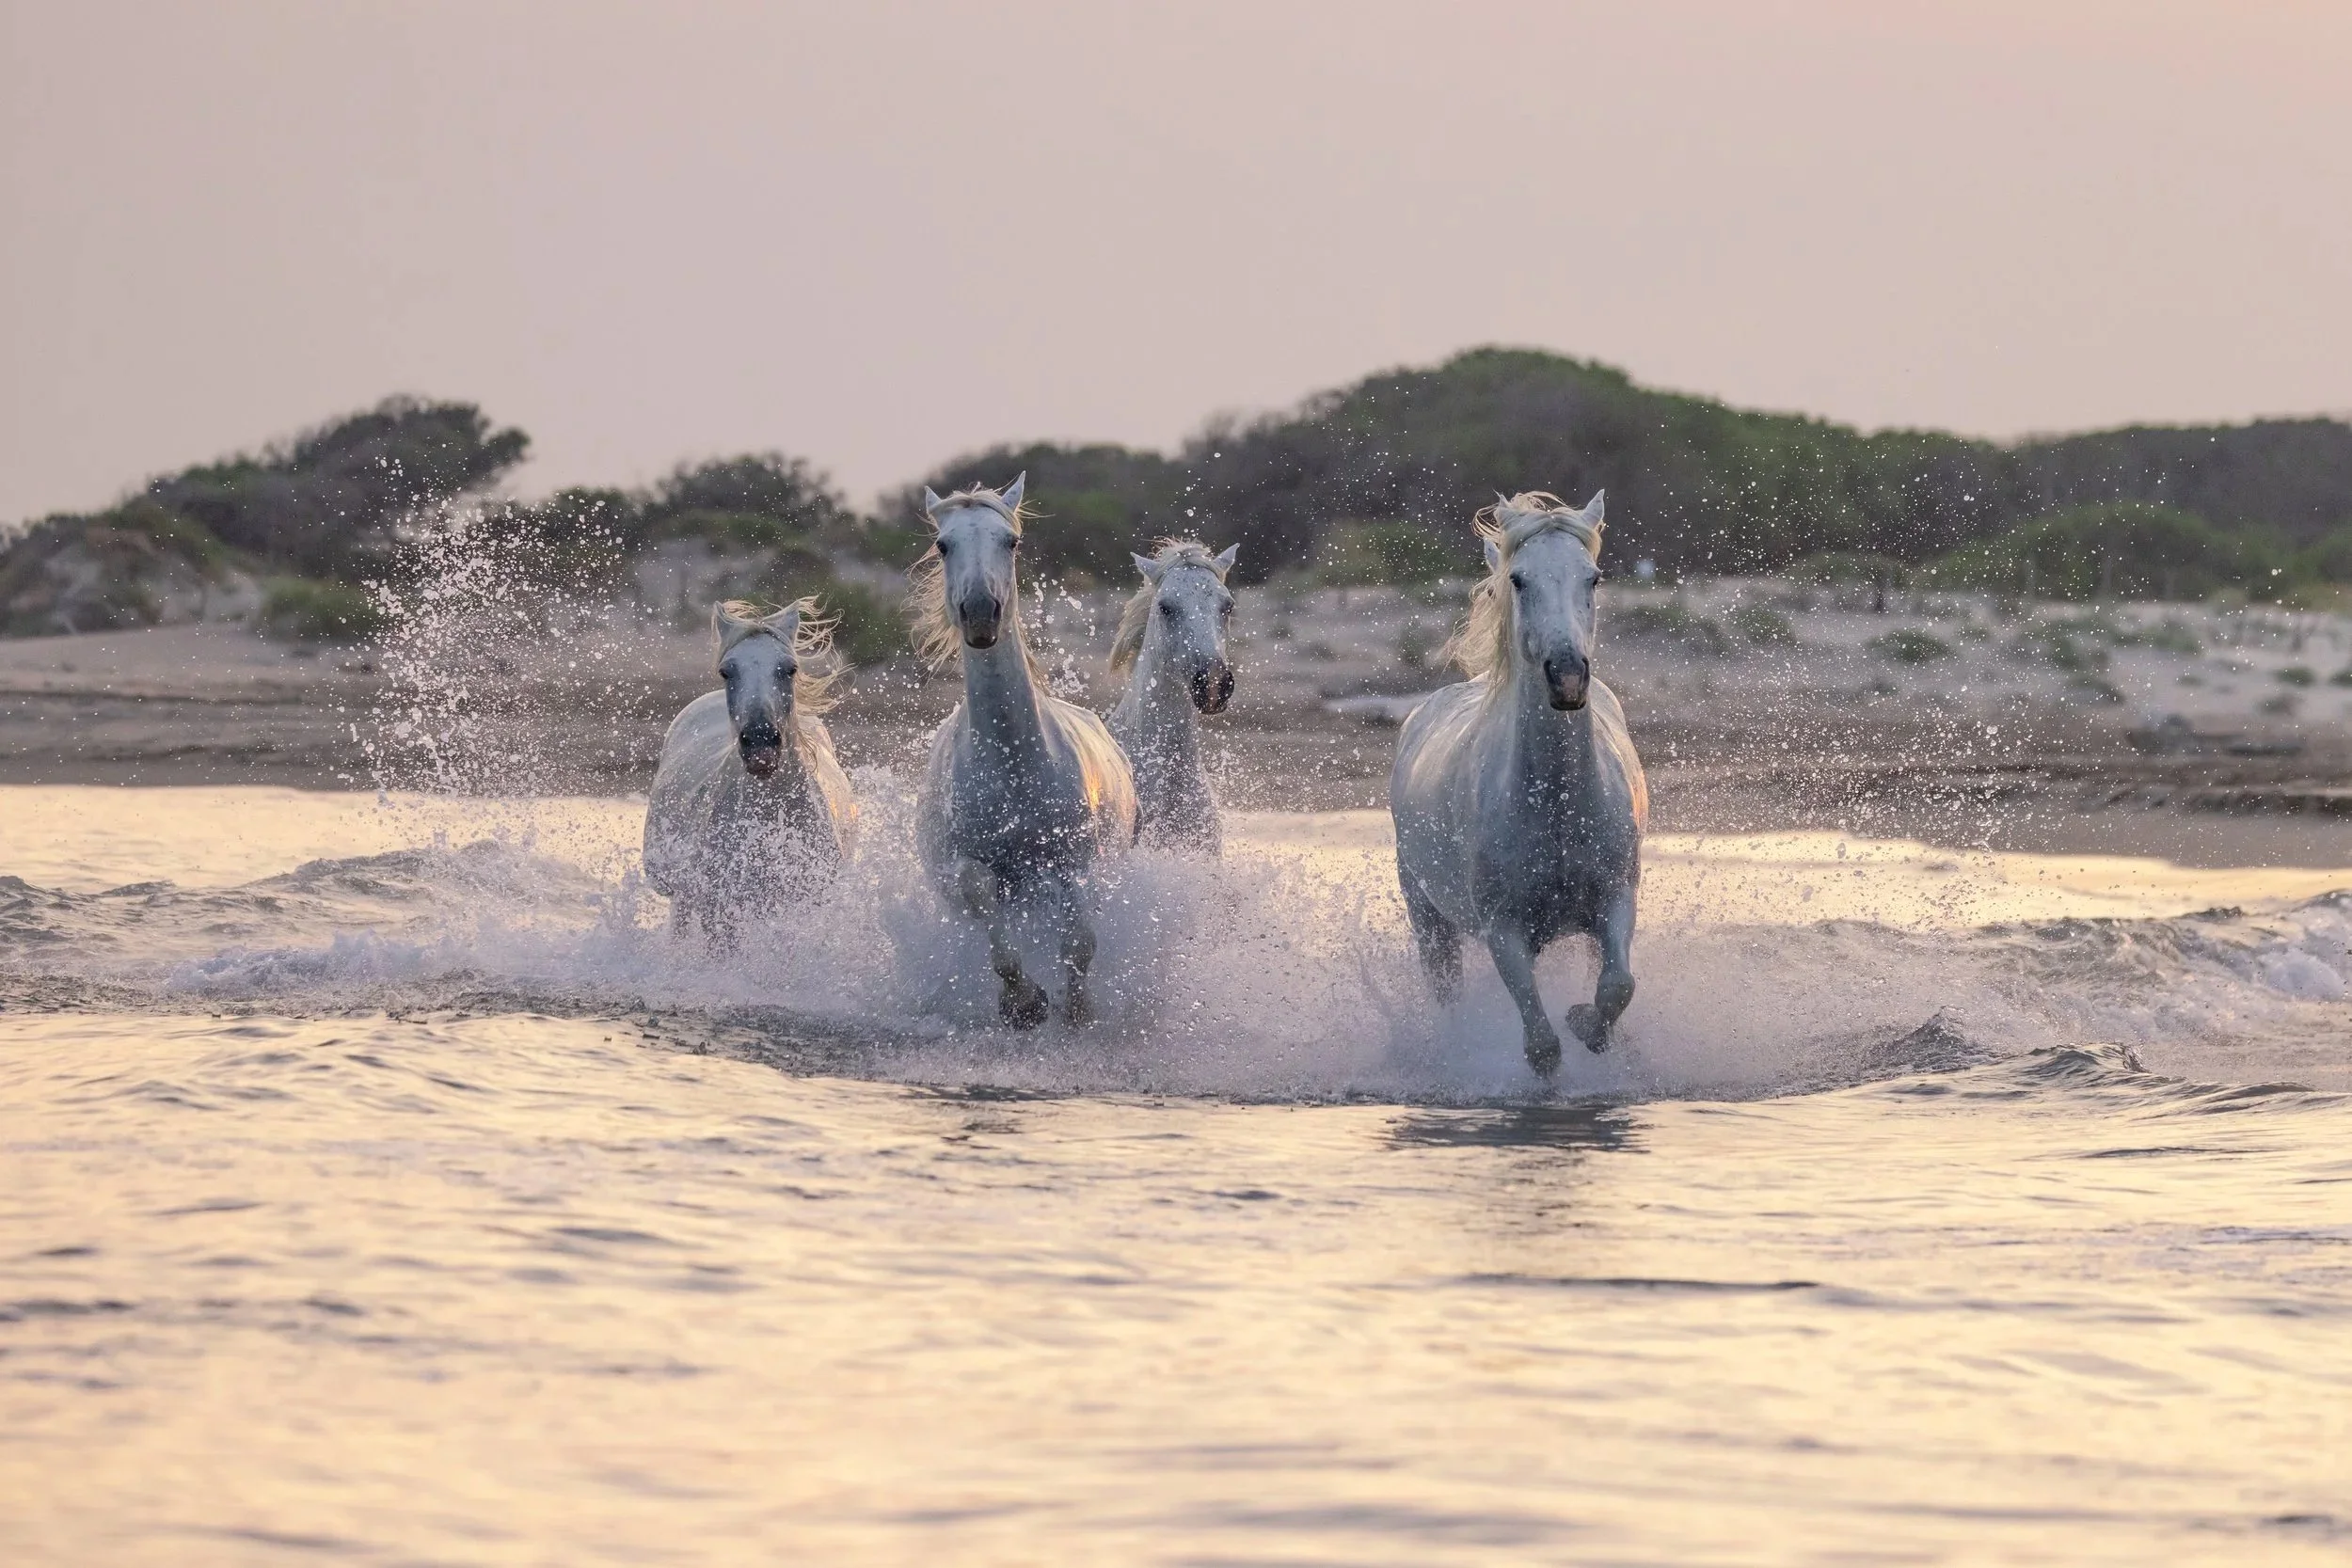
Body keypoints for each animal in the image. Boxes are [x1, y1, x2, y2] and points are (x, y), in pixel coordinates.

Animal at [910, 475, 1139, 1027]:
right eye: (943, 545)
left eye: (1010, 541)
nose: (979, 613)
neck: (1014, 765)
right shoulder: (970, 867)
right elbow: (986, 910)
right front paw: (1023, 1004)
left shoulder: (1073, 864)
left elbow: (1079, 941)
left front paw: (1076, 1008)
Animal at [1390, 491, 1647, 1076]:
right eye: (1519, 579)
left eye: (1594, 577)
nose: (1568, 675)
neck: (1554, 804)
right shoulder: (1503, 932)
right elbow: (1542, 1047)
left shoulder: (1617, 899)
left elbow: (1617, 987)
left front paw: (1587, 1027)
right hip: (1429, 921)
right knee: (1448, 994)